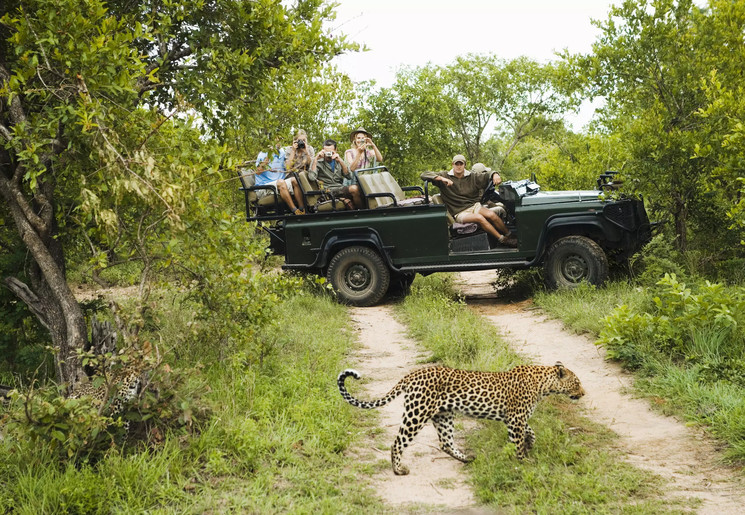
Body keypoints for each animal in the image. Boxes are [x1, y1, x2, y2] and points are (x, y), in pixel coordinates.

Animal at [338, 362, 588, 476]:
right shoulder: (515, 419)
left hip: (443, 415)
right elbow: (518, 442)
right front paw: (522, 462)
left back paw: (467, 458)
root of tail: (411, 374)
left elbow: (531, 431)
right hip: (417, 413)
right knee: (398, 442)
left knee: (445, 442)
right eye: (576, 383)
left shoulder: (516, 419)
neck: (544, 385)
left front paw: (530, 444)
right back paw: (399, 470)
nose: (584, 393)